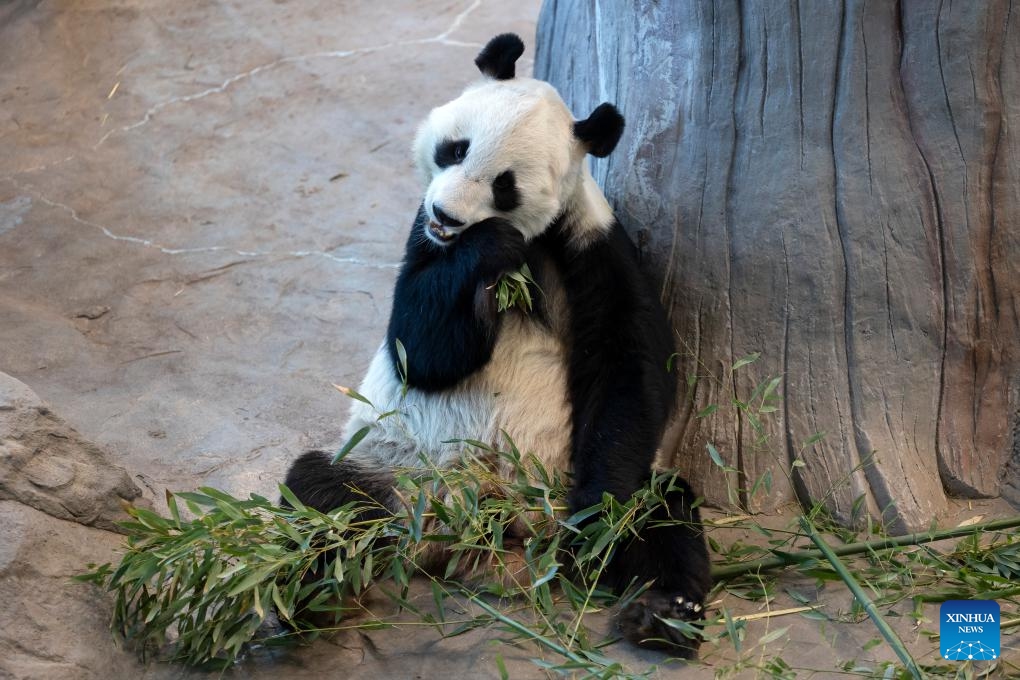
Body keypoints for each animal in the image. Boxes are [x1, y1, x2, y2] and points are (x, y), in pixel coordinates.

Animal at [284, 33, 711, 655]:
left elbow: (629, 373)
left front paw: (595, 524)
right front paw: (485, 249)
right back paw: (309, 595)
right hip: (395, 469)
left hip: (557, 482)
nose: (446, 214)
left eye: (504, 185)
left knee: (662, 511)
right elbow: (421, 350)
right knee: (326, 497)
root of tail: (475, 544)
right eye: (455, 149)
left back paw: (661, 613)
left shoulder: (592, 246)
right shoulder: (423, 242)